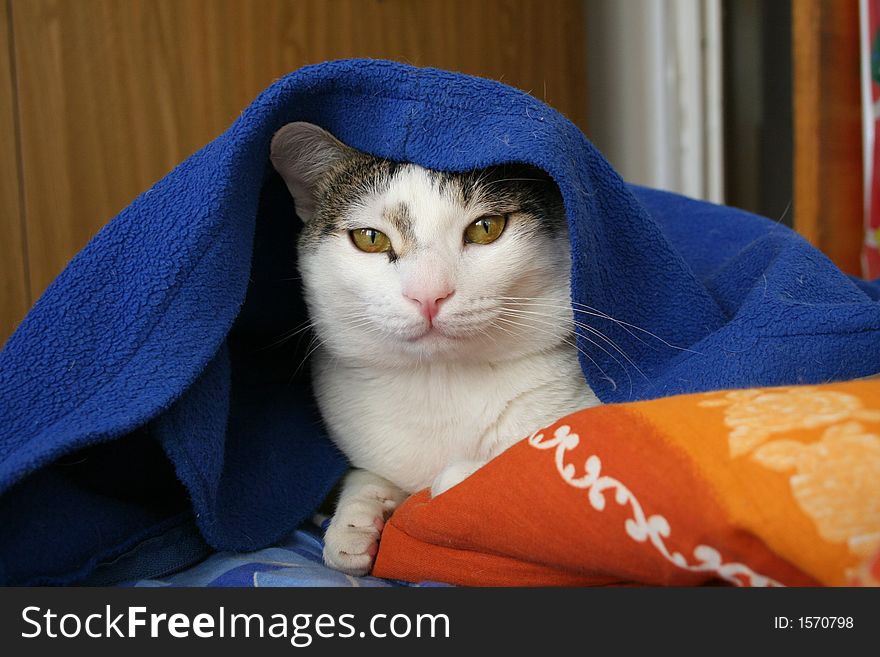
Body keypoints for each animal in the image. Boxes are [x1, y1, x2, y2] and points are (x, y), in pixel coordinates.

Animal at [270, 123, 600, 576]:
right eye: (369, 238)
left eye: (486, 227)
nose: (428, 294)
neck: (441, 380)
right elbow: (365, 476)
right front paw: (354, 522)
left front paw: (453, 481)